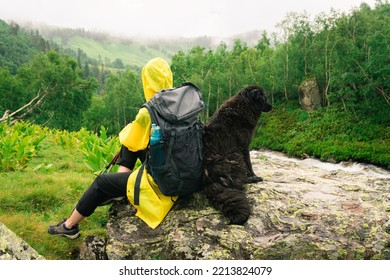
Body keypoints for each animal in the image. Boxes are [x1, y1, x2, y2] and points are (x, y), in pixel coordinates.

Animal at [203, 85, 272, 225]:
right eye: (265, 99)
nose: (272, 106)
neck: (243, 108)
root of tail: (208, 180)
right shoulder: (243, 147)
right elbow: (249, 164)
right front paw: (253, 175)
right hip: (235, 157)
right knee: (234, 182)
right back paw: (252, 180)